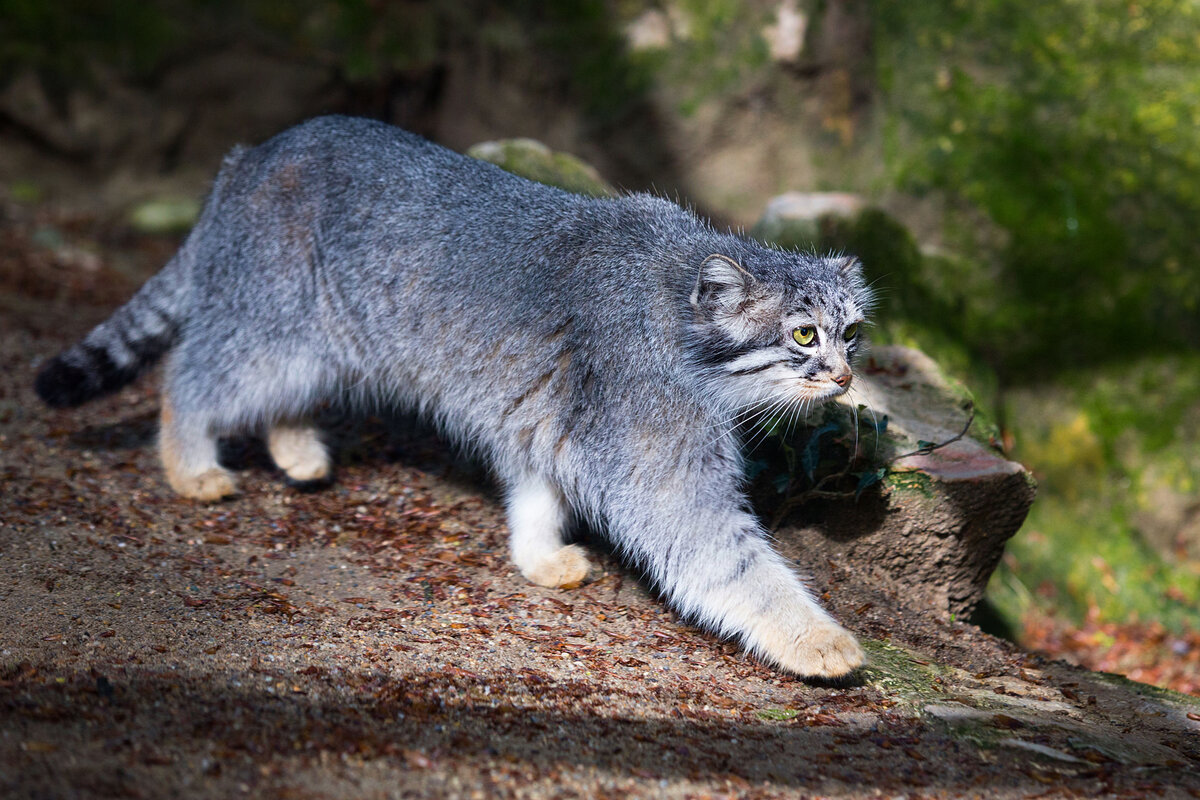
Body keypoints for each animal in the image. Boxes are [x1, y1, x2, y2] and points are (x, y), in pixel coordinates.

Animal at [37, 115, 873, 681]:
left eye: (852, 334)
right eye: (803, 336)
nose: (842, 378)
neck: (672, 307)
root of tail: (256, 152)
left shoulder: (547, 421)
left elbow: (536, 492)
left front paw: (536, 556)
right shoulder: (660, 458)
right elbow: (734, 562)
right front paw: (816, 638)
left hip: (315, 346)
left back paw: (297, 448)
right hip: (274, 329)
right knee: (192, 374)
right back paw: (189, 461)